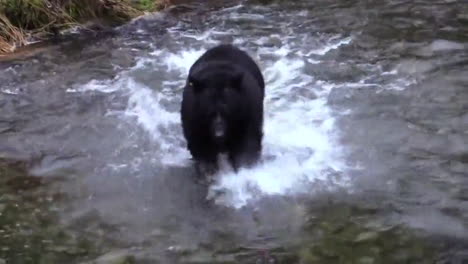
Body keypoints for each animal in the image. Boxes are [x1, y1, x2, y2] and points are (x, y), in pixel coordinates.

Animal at [181, 44, 266, 177]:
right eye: (209, 113)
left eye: (228, 112)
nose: (219, 134)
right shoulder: (194, 117)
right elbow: (200, 146)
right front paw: (208, 172)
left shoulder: (247, 112)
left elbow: (247, 143)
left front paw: (243, 168)